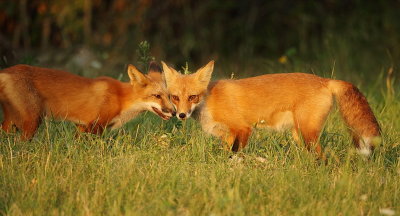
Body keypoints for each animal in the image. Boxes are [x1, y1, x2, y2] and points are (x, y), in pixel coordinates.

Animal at [0, 62, 175, 140]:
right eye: (157, 96)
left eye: (169, 96)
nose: (174, 112)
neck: (121, 99)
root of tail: (6, 71)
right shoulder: (95, 125)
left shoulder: (82, 127)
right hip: (32, 121)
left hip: (12, 122)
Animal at [162, 60, 382, 157]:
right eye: (175, 97)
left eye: (192, 97)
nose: (181, 114)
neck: (209, 101)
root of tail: (325, 80)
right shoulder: (227, 135)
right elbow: (225, 153)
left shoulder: (243, 128)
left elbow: (234, 154)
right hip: (299, 135)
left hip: (308, 134)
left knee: (324, 157)